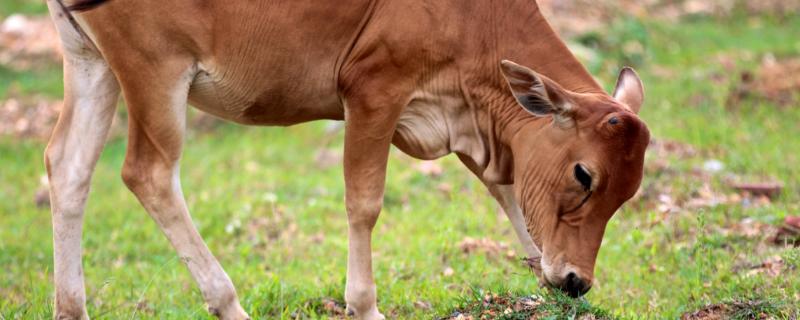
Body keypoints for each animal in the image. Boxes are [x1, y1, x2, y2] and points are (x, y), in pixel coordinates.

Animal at [43, 0, 648, 318]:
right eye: (584, 174)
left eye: (627, 194)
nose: (577, 280)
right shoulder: (374, 88)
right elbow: (364, 203)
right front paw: (364, 305)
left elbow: (509, 194)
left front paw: (544, 273)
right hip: (155, 68)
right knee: (148, 173)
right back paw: (228, 302)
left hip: (90, 59)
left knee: (67, 166)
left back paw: (71, 307)